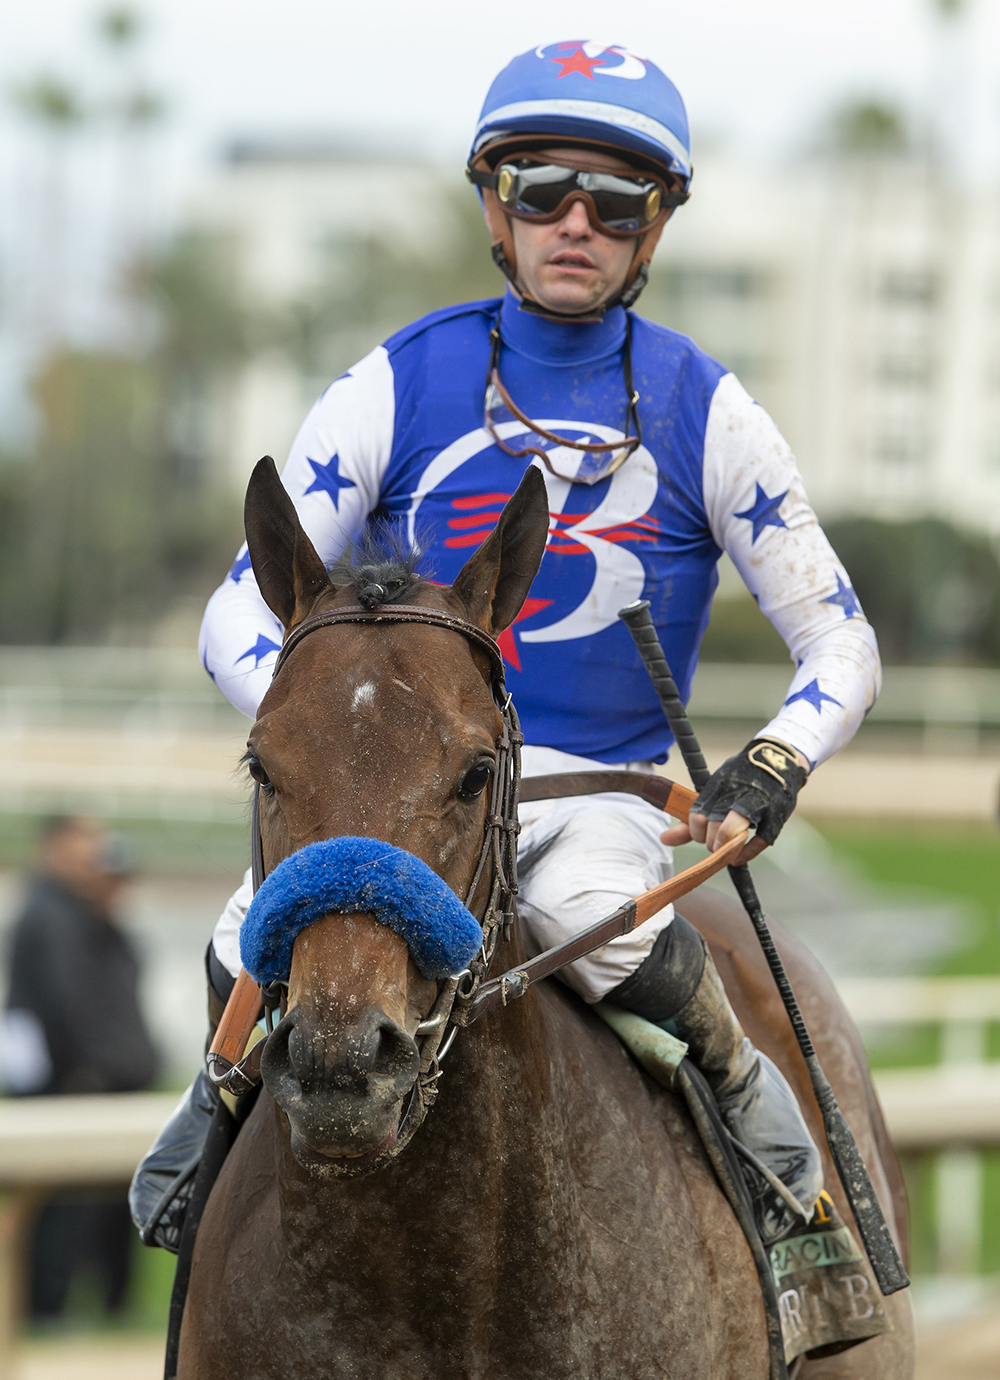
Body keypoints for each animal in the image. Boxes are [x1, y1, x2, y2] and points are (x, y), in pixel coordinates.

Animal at [179, 458, 910, 1374]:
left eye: (474, 771)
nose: (341, 1065)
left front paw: (753, 792)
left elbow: (830, 623)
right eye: (261, 765)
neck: (439, 1272)